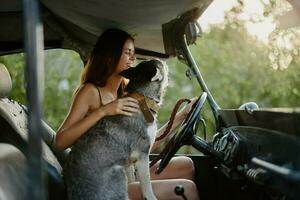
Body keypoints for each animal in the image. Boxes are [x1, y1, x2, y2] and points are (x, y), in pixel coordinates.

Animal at [63, 59, 169, 200]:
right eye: (161, 64)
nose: (165, 61)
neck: (142, 99)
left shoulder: (130, 160)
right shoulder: (142, 154)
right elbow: (147, 185)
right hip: (118, 173)